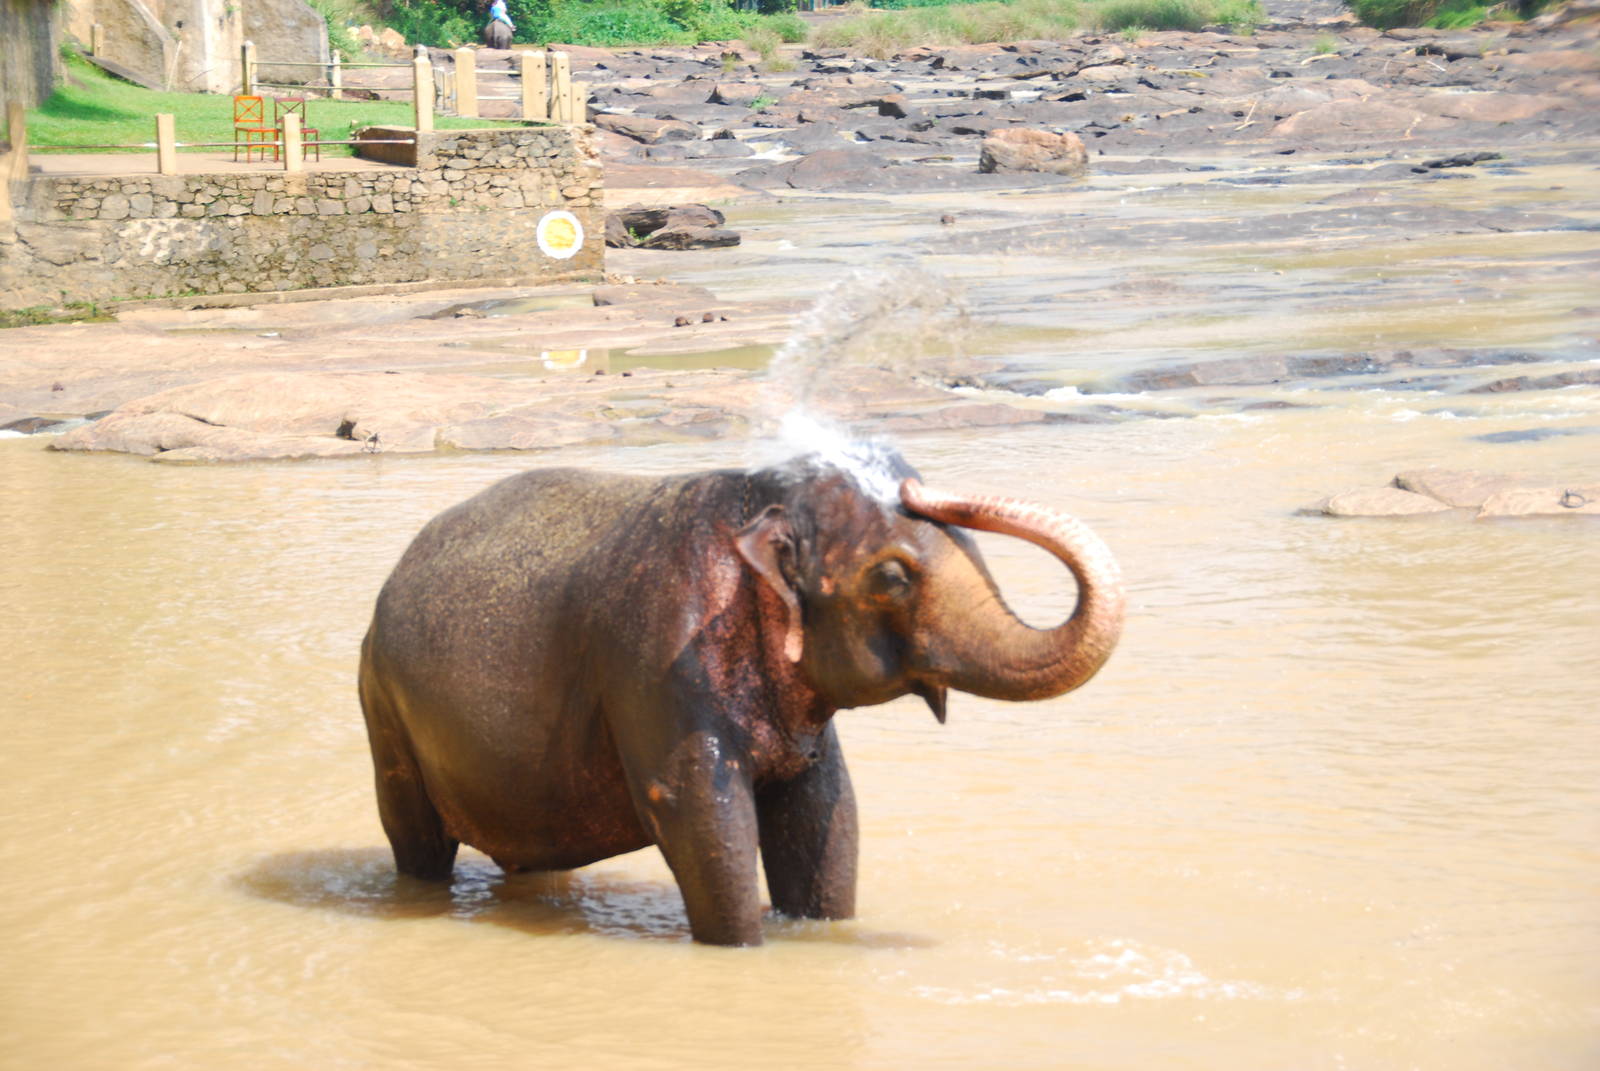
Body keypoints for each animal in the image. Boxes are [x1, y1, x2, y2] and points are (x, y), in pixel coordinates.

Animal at [358, 450, 1124, 946]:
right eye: (893, 576)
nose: (911, 482)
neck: (756, 500)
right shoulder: (657, 661)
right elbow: (702, 813)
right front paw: (744, 948)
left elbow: (826, 809)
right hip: (382, 704)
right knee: (416, 838)